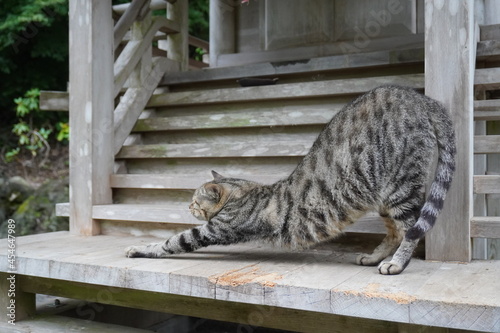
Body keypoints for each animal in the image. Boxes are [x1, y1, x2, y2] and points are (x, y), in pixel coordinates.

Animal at [123, 84, 456, 274]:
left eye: (194, 201)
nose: (187, 206)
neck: (243, 191)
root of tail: (422, 99)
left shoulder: (215, 229)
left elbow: (173, 241)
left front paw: (141, 249)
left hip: (401, 187)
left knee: (411, 229)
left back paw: (396, 263)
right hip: (385, 197)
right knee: (395, 232)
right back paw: (375, 257)